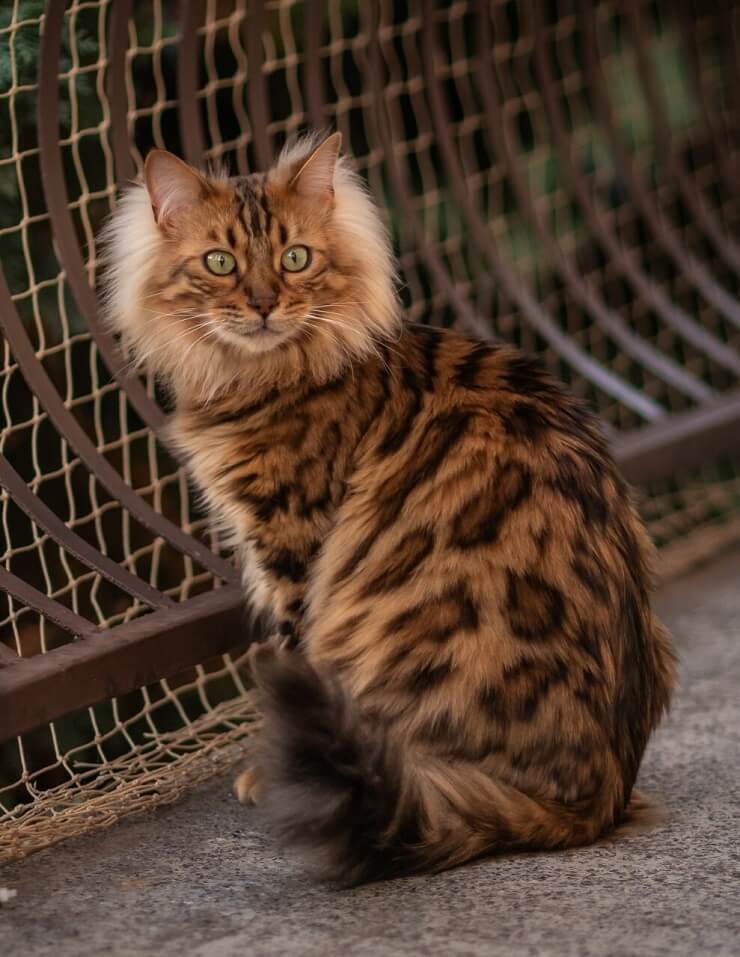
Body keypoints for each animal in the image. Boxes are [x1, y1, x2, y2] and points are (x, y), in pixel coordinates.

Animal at [102, 131, 676, 884]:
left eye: (295, 258)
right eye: (219, 263)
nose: (263, 305)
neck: (264, 372)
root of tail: (596, 798)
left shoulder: (294, 538)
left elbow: (293, 643)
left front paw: (261, 772)